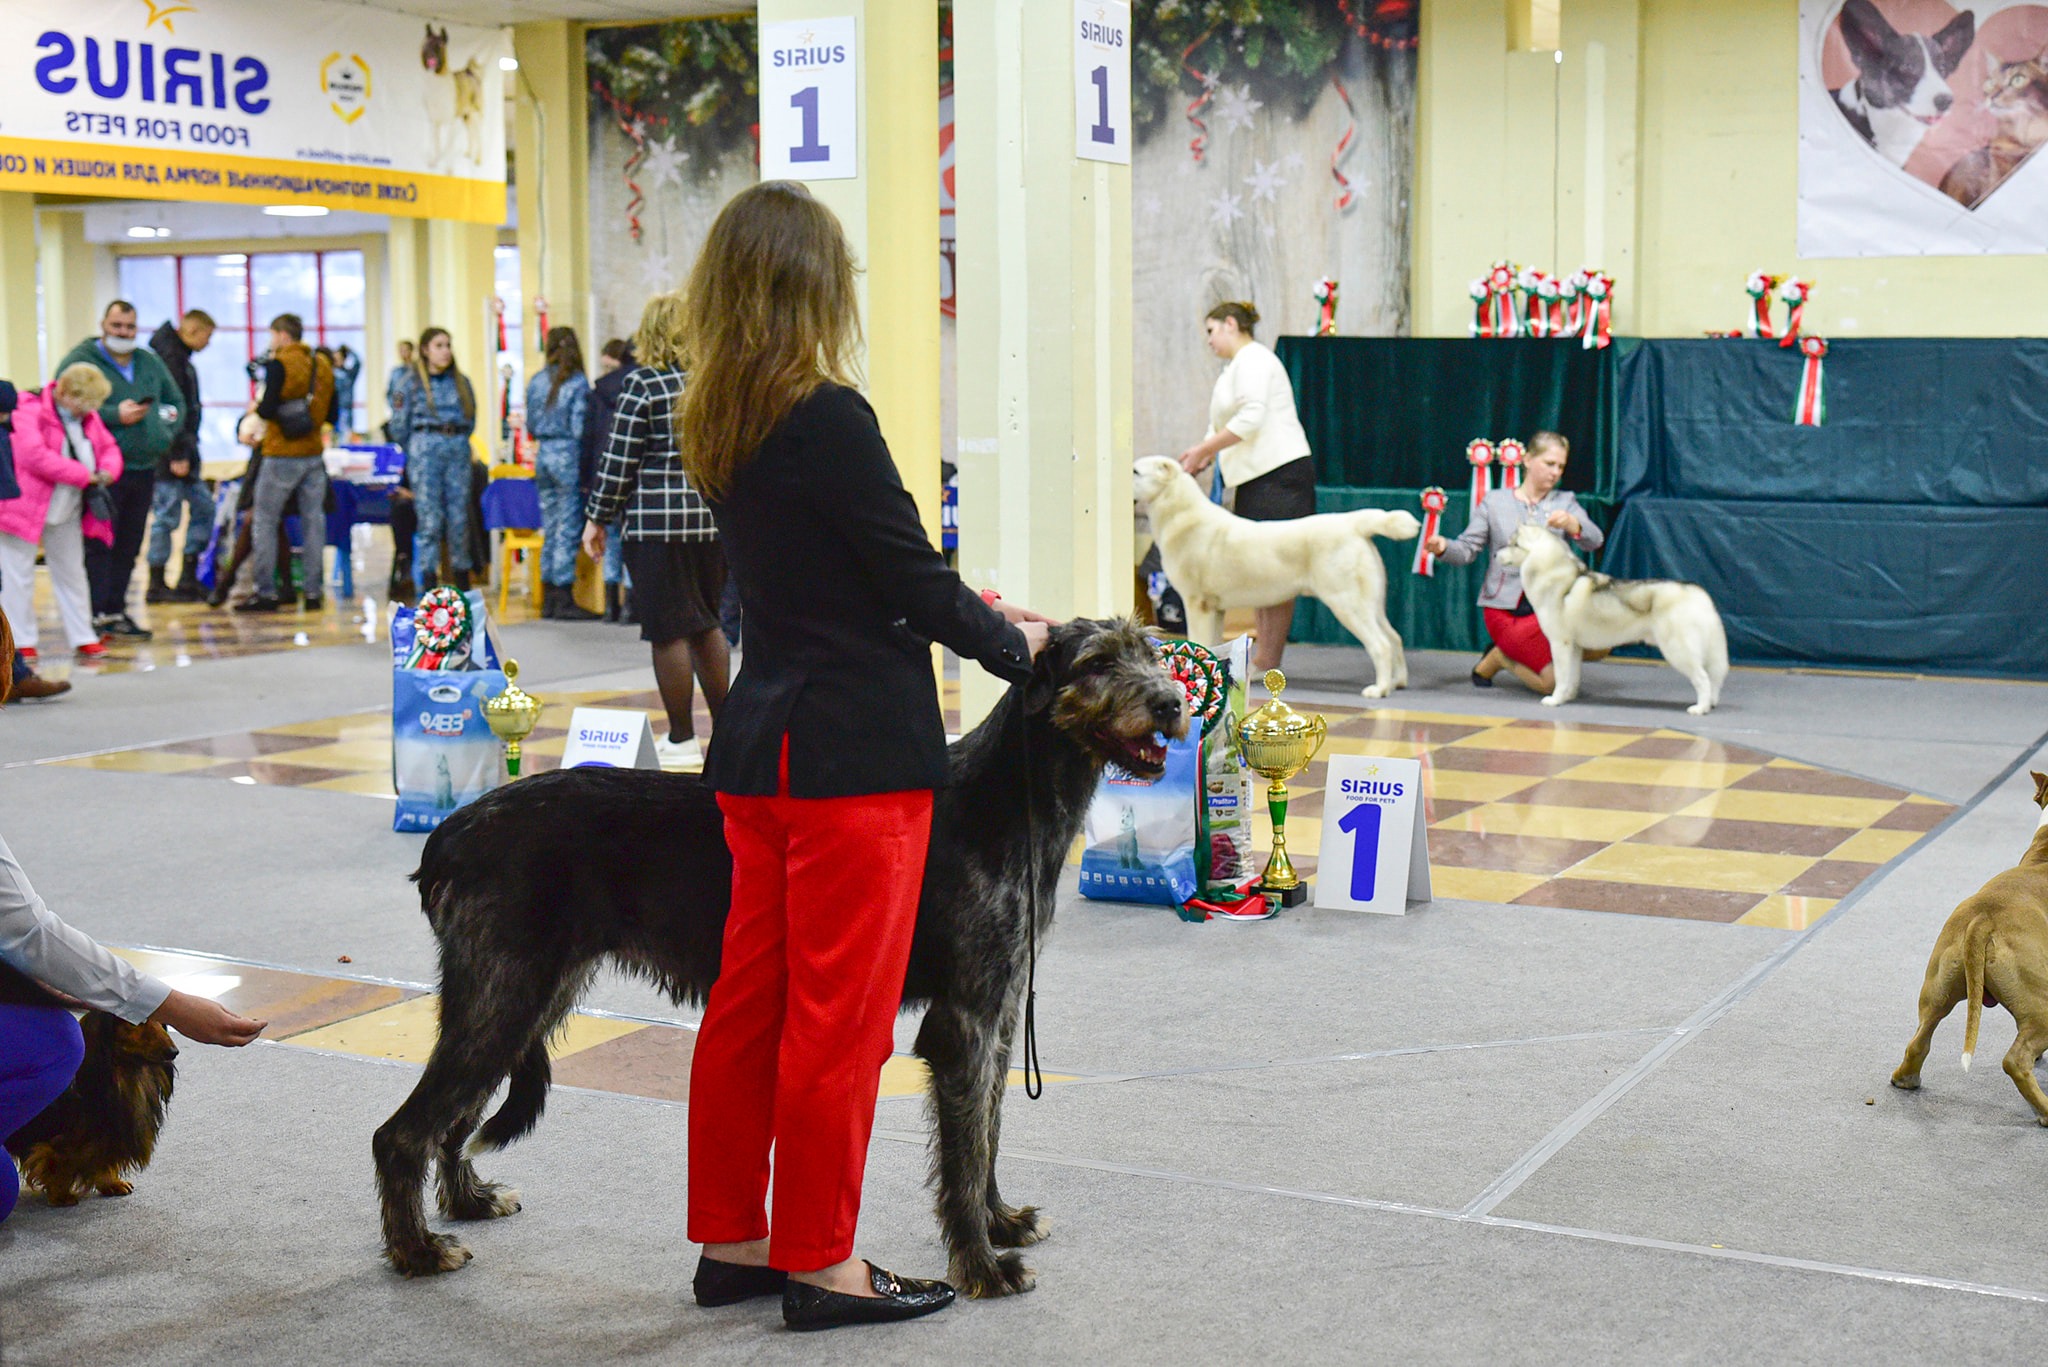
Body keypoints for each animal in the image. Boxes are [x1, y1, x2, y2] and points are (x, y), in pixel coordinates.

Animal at [0, 963, 178, 1205]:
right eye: (139, 1021)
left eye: (162, 1022)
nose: (173, 1052)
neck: (125, 1074)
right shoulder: (62, 1139)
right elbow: (59, 1160)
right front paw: (61, 1194)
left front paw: (110, 1182)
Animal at [372, 627, 1187, 1303]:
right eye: (1097, 662)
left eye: (1153, 652)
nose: (1173, 703)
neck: (1008, 795)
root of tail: (449, 834)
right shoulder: (964, 1022)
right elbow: (964, 1151)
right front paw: (983, 1266)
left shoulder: (1000, 1005)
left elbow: (986, 1130)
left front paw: (1003, 1220)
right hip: (506, 990)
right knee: (402, 1132)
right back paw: (417, 1251)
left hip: (520, 995)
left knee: (452, 1116)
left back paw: (468, 1201)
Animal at [1490, 524, 1728, 717]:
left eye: (1513, 544)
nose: (1494, 555)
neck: (1553, 573)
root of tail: (1696, 592)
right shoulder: (1574, 647)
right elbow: (1572, 677)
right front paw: (1567, 697)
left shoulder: (1560, 643)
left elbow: (1561, 676)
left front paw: (1555, 700)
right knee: (1714, 677)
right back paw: (1711, 703)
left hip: (1678, 650)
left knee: (1703, 678)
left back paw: (1700, 708)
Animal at [1884, 770, 2048, 1123]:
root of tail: (1983, 920)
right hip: (2042, 1002)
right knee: (2015, 1060)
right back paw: (2045, 1111)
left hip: (1938, 989)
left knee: (1919, 1040)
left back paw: (1906, 1078)